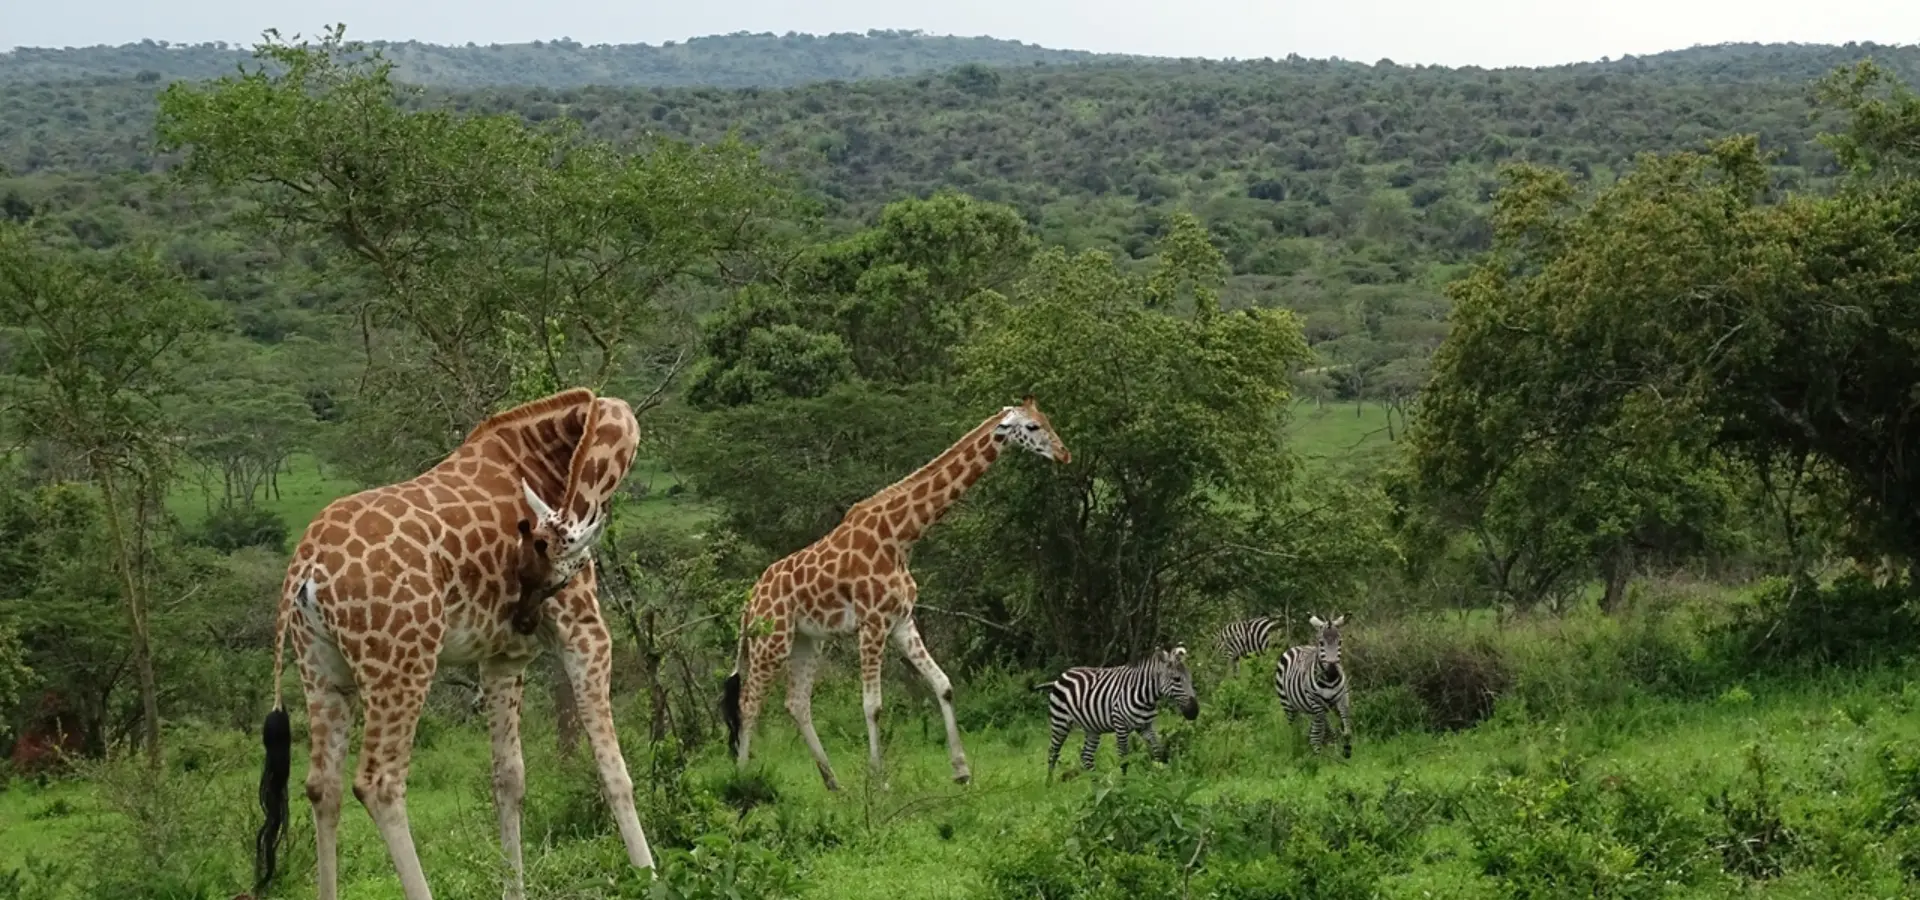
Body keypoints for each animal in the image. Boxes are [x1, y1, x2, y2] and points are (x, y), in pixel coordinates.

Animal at [1032, 646, 1200, 780]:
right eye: (1177, 679)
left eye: (1190, 678)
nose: (1194, 712)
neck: (1145, 695)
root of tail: (1060, 677)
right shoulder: (1121, 726)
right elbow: (1124, 757)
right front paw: (1125, 784)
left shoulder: (1146, 726)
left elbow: (1157, 749)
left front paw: (1158, 775)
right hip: (1060, 722)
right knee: (1053, 751)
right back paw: (1049, 784)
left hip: (1092, 727)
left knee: (1086, 756)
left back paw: (1098, 782)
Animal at [1274, 614, 1352, 758]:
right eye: (1321, 643)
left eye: (1340, 642)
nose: (1333, 672)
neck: (1329, 681)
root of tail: (1296, 647)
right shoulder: (1315, 700)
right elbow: (1320, 731)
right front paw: (1319, 753)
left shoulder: (1343, 697)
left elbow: (1346, 729)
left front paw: (1345, 748)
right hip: (1288, 703)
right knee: (1295, 727)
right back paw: (1297, 745)